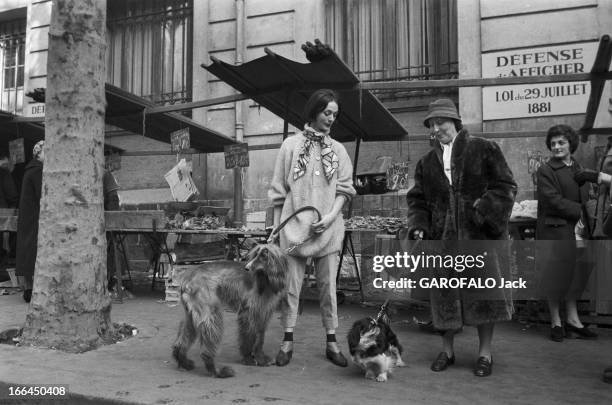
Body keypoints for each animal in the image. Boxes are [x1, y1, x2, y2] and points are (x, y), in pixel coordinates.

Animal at [171, 241, 288, 378]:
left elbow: (260, 338)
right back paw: (217, 371)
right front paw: (248, 358)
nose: (247, 268)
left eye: (263, 256)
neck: (266, 280)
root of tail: (187, 278)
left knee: (181, 341)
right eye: (255, 255)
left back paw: (184, 362)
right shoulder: (248, 312)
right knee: (206, 350)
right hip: (210, 312)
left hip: (191, 314)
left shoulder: (263, 313)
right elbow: (248, 337)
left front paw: (261, 358)